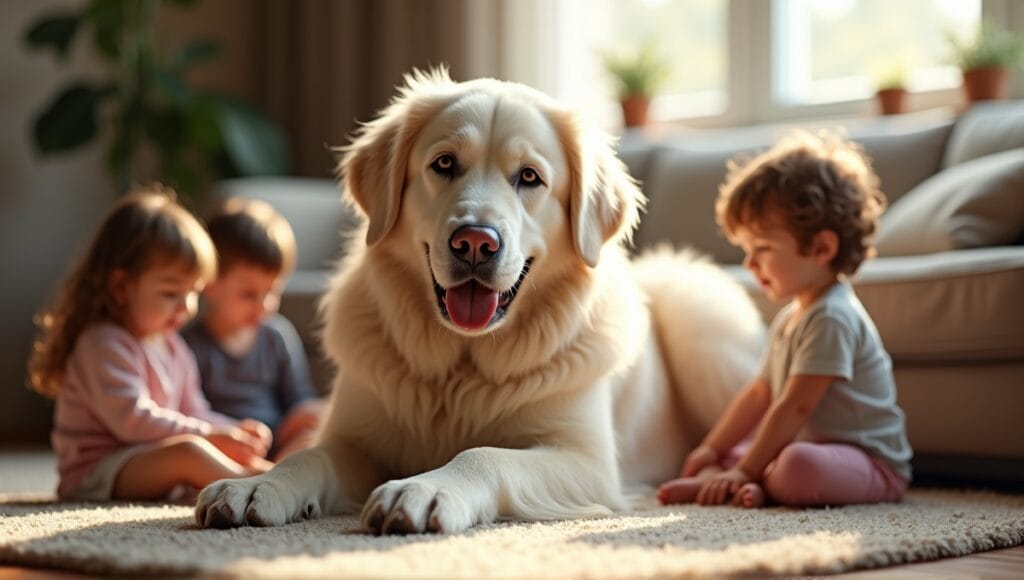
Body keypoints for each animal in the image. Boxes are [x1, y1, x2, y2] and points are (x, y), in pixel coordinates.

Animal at [195, 69, 765, 536]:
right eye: (444, 164)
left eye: (530, 177)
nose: (475, 242)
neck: (461, 367)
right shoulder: (354, 439)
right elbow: (310, 457)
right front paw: (255, 484)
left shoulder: (586, 461)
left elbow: (485, 453)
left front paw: (424, 489)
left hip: (702, 333)